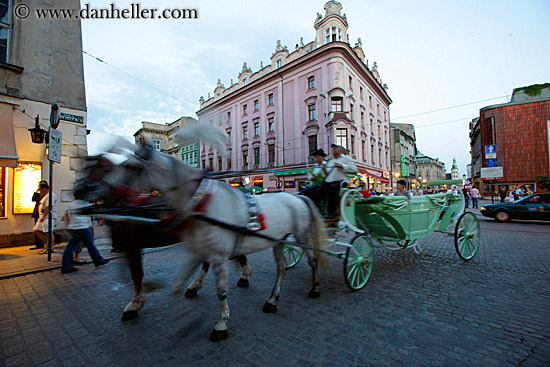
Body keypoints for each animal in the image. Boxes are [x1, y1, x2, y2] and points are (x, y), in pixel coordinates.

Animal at [96, 126, 328, 342]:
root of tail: (297, 197)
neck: (202, 206)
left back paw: (315, 288)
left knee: (313, 260)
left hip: (302, 234)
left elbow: (221, 291)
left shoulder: (218, 256)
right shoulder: (195, 253)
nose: (107, 194)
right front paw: (182, 317)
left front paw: (221, 324)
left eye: (130, 166)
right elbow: (175, 286)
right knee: (281, 269)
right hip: (279, 240)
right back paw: (272, 300)